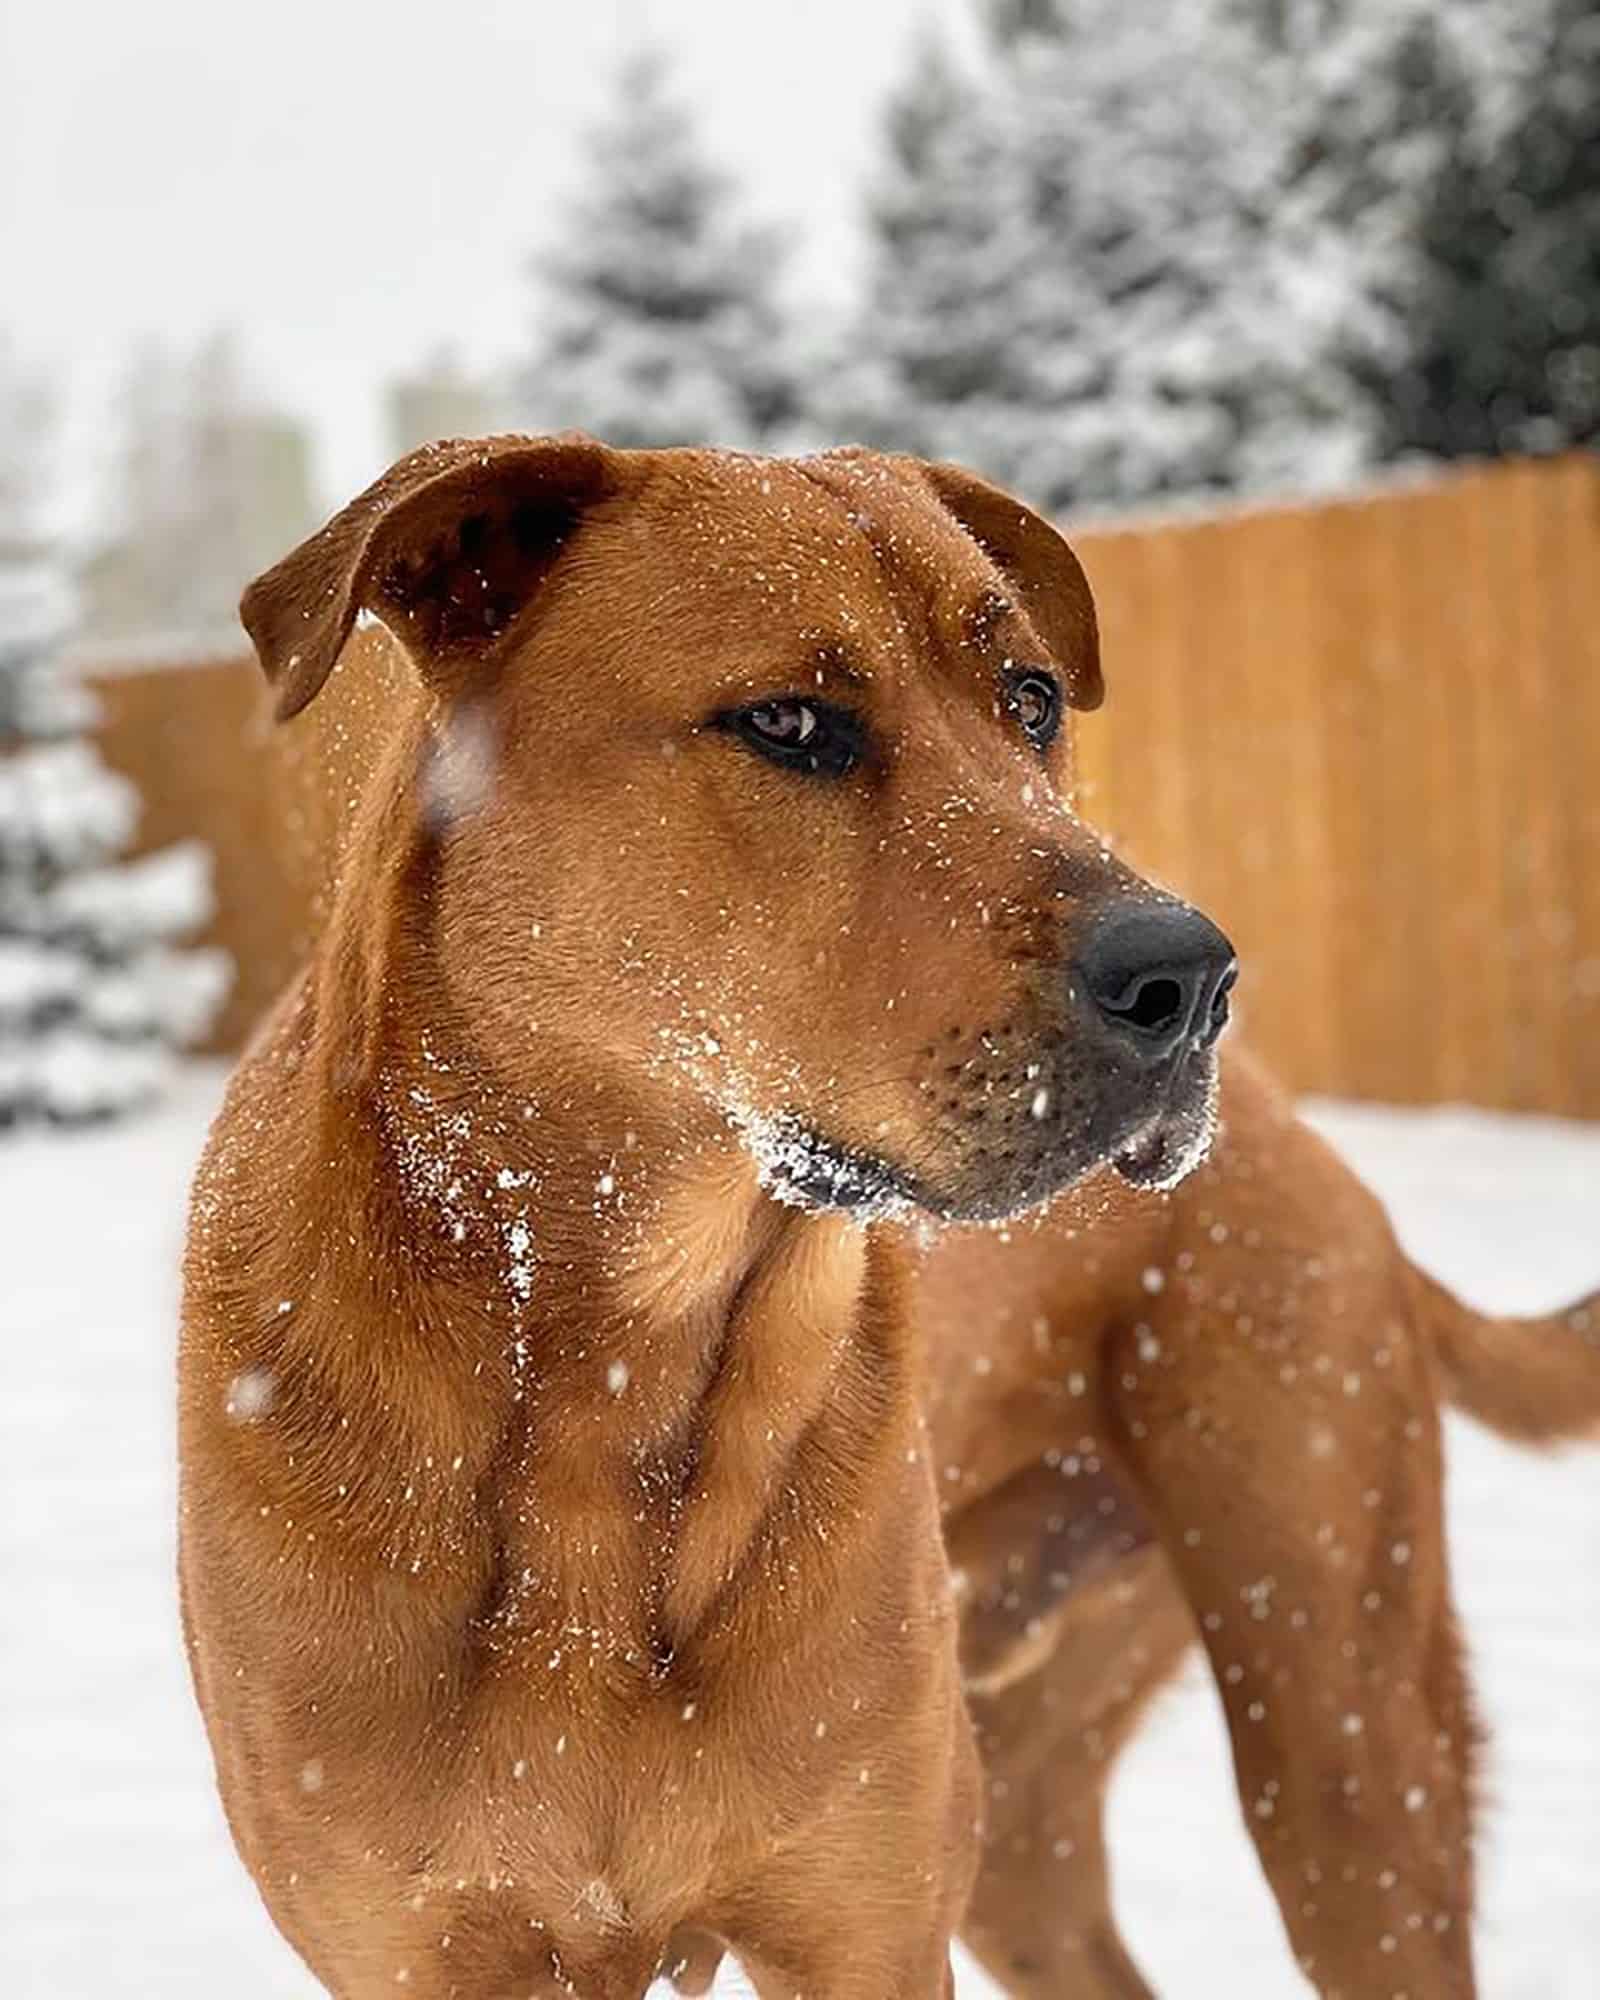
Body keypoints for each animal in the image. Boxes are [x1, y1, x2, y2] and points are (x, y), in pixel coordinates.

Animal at [181, 442, 1592, 2000]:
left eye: (1030, 699)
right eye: (790, 722)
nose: (1195, 979)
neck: (610, 1385)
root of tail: (1305, 1142)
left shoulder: (865, 1919)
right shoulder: (425, 1945)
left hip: (1340, 1734)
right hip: (1039, 1807)